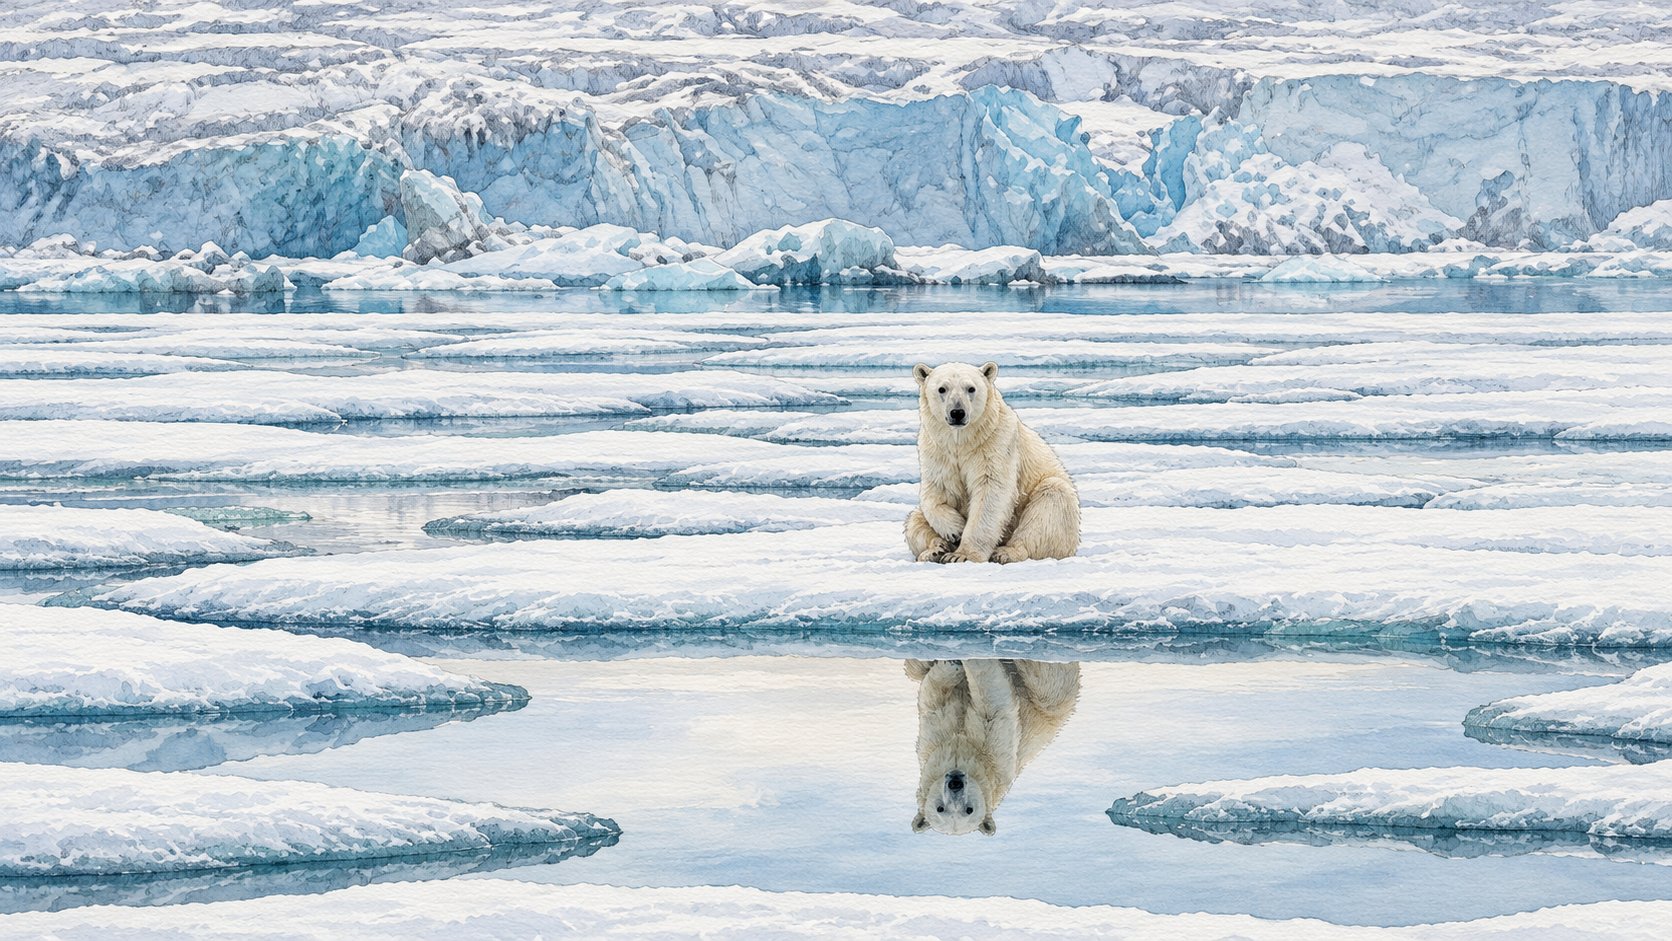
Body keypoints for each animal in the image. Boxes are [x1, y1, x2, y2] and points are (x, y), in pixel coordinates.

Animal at [905, 361, 1080, 564]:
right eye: (942, 388)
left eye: (971, 388)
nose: (957, 413)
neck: (963, 442)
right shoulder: (937, 451)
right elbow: (935, 493)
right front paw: (956, 530)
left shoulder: (995, 443)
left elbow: (990, 493)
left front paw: (961, 555)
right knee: (914, 520)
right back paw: (934, 550)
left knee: (1050, 501)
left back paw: (1005, 552)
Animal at [906, 658, 1081, 836]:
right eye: (940, 808)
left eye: (969, 809)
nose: (955, 782)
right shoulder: (937, 745)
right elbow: (939, 702)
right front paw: (955, 665)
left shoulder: (988, 754)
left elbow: (989, 707)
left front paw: (961, 663)